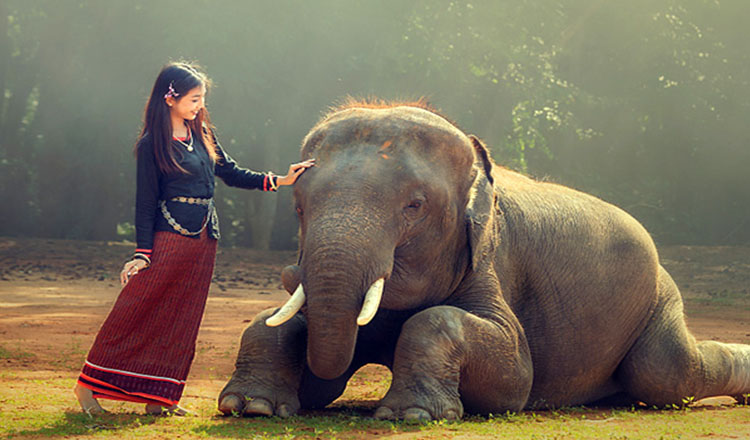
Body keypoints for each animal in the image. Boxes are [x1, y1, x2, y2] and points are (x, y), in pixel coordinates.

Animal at [217, 101, 750, 422]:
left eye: (414, 206)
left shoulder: (492, 260)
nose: (288, 273)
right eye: (298, 206)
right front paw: (252, 407)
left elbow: (513, 375)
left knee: (666, 373)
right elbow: (300, 353)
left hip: (661, 297)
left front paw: (412, 416)